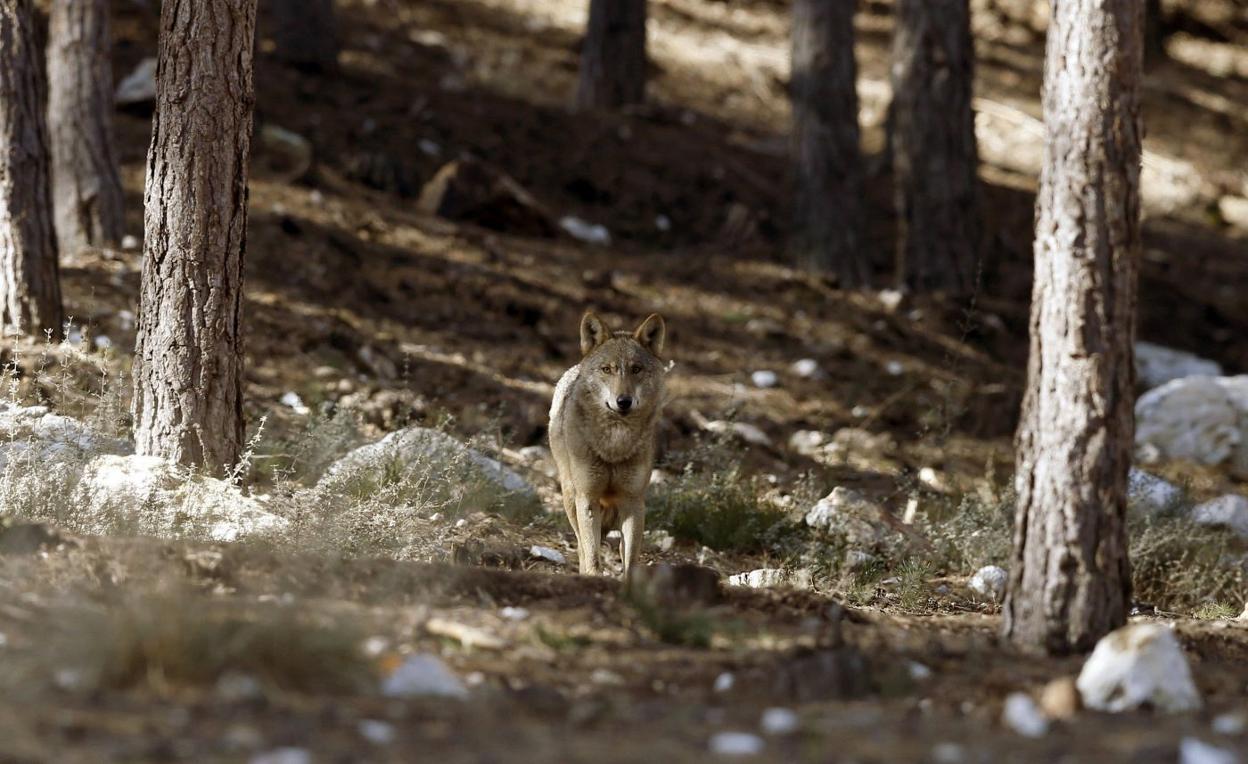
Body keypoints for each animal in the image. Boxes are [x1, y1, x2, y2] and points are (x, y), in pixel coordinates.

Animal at [551, 312, 668, 579]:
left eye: (636, 369)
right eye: (607, 369)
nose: (623, 401)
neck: (615, 445)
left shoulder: (633, 502)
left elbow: (631, 562)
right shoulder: (588, 498)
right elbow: (592, 556)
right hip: (571, 498)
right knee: (581, 548)